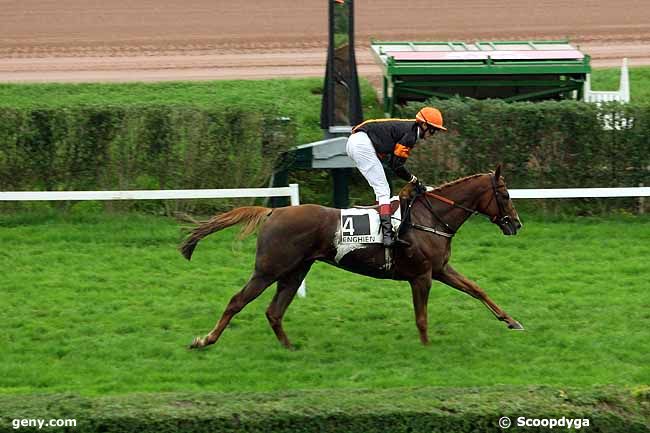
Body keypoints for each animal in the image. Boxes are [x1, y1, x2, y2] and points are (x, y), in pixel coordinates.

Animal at [180, 164, 524, 350]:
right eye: (505, 195)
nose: (516, 224)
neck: (431, 217)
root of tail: (274, 211)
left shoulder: (440, 269)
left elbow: (477, 289)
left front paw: (511, 320)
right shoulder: (421, 276)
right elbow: (422, 317)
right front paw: (427, 348)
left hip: (295, 271)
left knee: (274, 311)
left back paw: (290, 348)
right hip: (268, 269)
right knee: (237, 301)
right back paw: (205, 340)